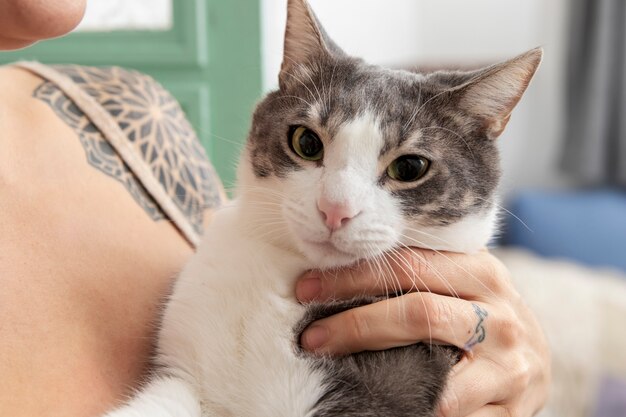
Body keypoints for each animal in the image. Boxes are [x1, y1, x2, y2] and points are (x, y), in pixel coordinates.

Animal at [105, 0, 540, 416]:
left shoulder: (398, 376)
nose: (335, 208)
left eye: (410, 167)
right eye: (306, 142)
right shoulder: (187, 364)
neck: (283, 273)